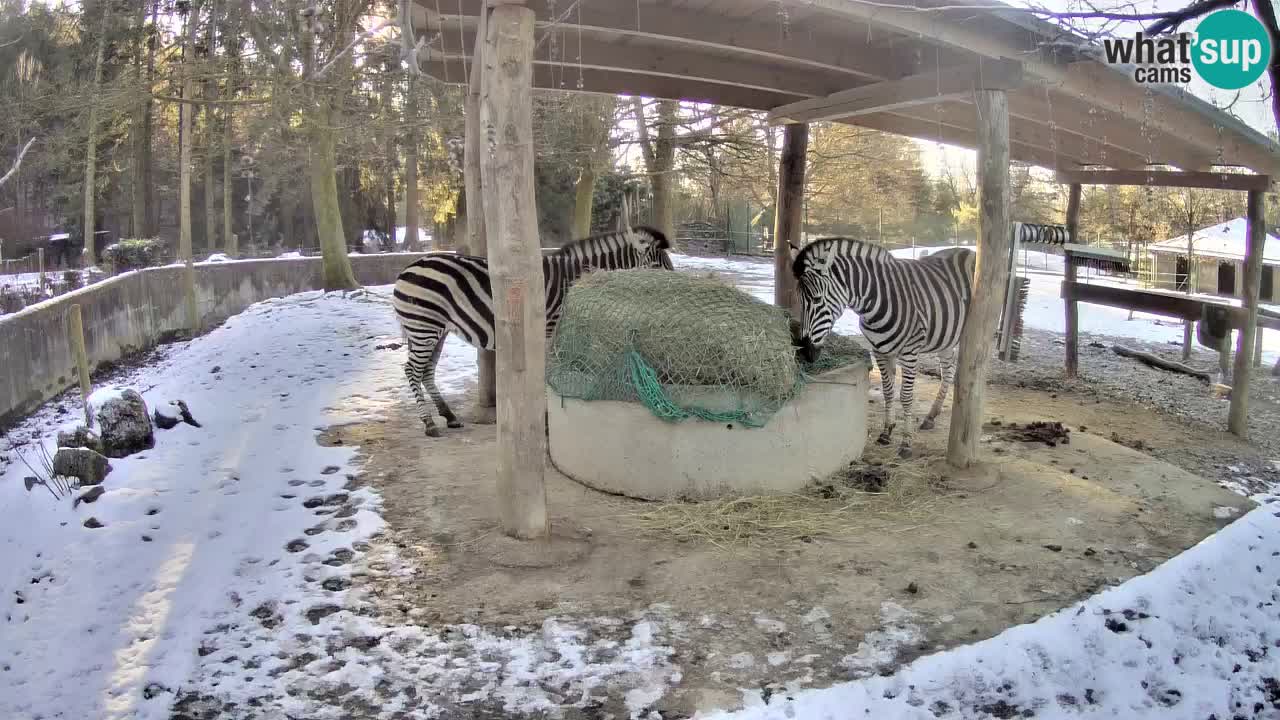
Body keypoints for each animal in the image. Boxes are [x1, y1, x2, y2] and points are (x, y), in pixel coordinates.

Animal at [389, 226, 675, 435]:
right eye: (656, 268)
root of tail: (408, 267)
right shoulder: (550, 331)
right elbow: (549, 375)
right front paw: (546, 419)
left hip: (437, 329)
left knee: (427, 370)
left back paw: (449, 416)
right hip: (424, 326)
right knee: (412, 370)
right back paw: (429, 423)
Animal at [783, 238, 972, 456]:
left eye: (816, 299)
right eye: (799, 299)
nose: (806, 353)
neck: (875, 302)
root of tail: (967, 250)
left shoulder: (909, 352)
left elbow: (906, 396)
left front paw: (906, 442)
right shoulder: (879, 351)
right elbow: (888, 391)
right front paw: (886, 432)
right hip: (946, 337)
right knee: (948, 370)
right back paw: (931, 416)